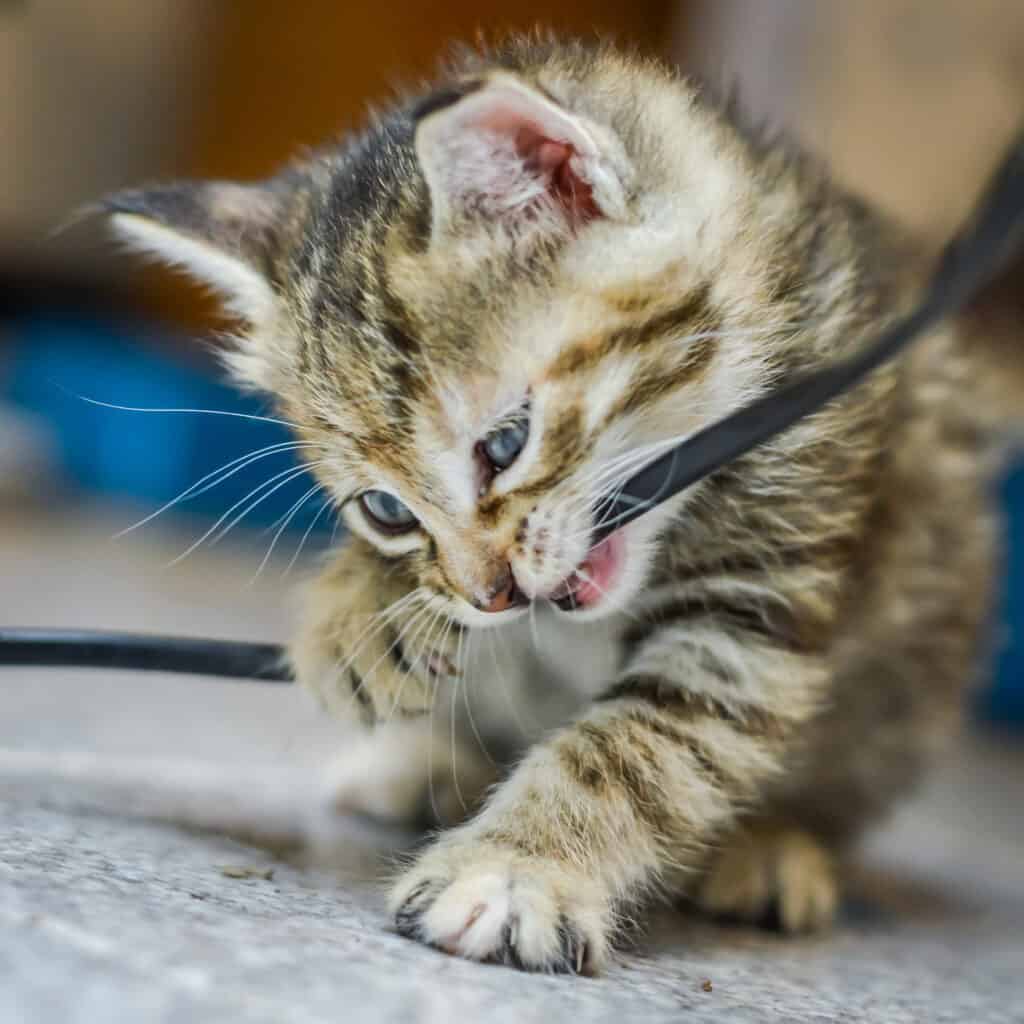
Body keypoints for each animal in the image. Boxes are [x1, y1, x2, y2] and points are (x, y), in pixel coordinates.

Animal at [108, 36, 1019, 970]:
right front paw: (361, 614)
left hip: (919, 659)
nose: (491, 595)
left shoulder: (759, 599)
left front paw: (515, 870)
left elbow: (637, 747)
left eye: (505, 444)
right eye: (385, 511)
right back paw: (425, 765)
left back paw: (771, 846)